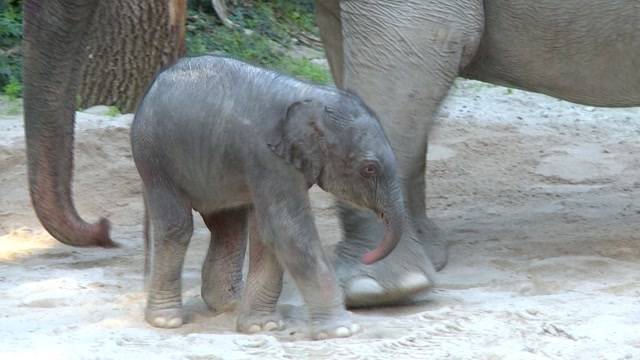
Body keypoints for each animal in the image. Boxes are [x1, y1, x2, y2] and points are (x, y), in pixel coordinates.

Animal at [131, 54, 410, 338]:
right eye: (369, 169)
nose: (367, 257)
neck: (311, 94)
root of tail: (151, 88)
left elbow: (267, 233)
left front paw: (262, 326)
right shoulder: (267, 157)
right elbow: (286, 229)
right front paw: (343, 330)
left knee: (229, 228)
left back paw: (230, 304)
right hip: (155, 158)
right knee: (177, 227)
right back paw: (166, 320)